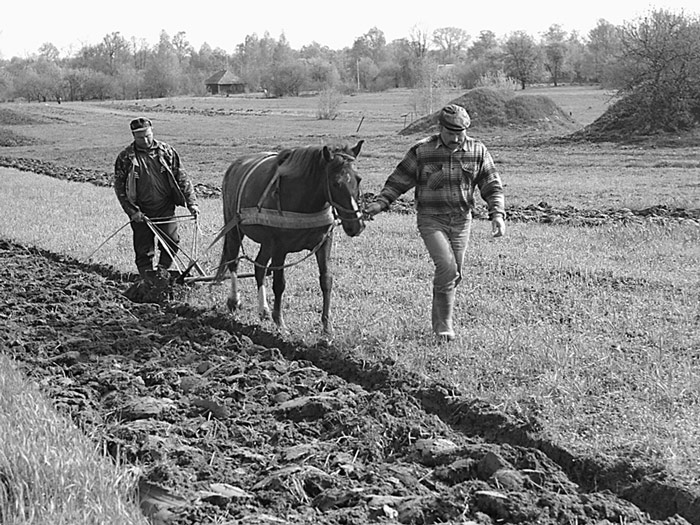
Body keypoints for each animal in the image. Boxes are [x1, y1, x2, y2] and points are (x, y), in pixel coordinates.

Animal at [215, 140, 366, 336]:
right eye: (335, 183)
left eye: (358, 179)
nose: (357, 225)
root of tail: (234, 166)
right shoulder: (280, 247)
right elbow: (279, 283)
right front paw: (280, 322)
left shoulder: (324, 242)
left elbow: (326, 280)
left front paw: (326, 326)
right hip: (235, 230)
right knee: (233, 262)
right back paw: (234, 301)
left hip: (266, 243)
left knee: (259, 267)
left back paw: (263, 309)